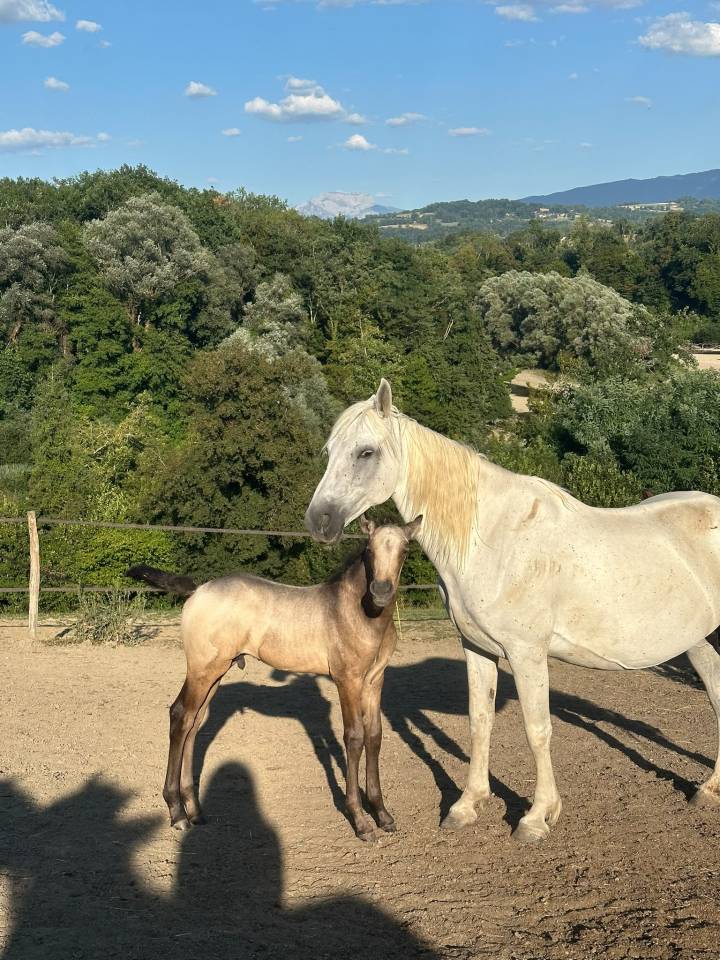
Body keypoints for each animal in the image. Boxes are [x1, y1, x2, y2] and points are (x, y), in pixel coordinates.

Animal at [133, 515, 422, 840]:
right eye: (369, 550)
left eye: (406, 550)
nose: (381, 591)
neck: (358, 613)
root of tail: (197, 590)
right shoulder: (348, 680)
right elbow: (354, 737)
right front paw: (360, 821)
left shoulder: (374, 681)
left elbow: (374, 735)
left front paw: (382, 814)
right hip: (201, 670)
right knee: (180, 715)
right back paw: (177, 812)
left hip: (216, 672)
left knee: (193, 725)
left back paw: (194, 811)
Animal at [304, 378, 720, 843]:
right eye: (329, 451)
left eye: (366, 452)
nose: (318, 521)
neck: (492, 538)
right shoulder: (477, 648)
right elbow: (479, 721)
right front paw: (467, 805)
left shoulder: (527, 653)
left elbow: (537, 730)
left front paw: (537, 817)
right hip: (699, 640)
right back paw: (708, 791)